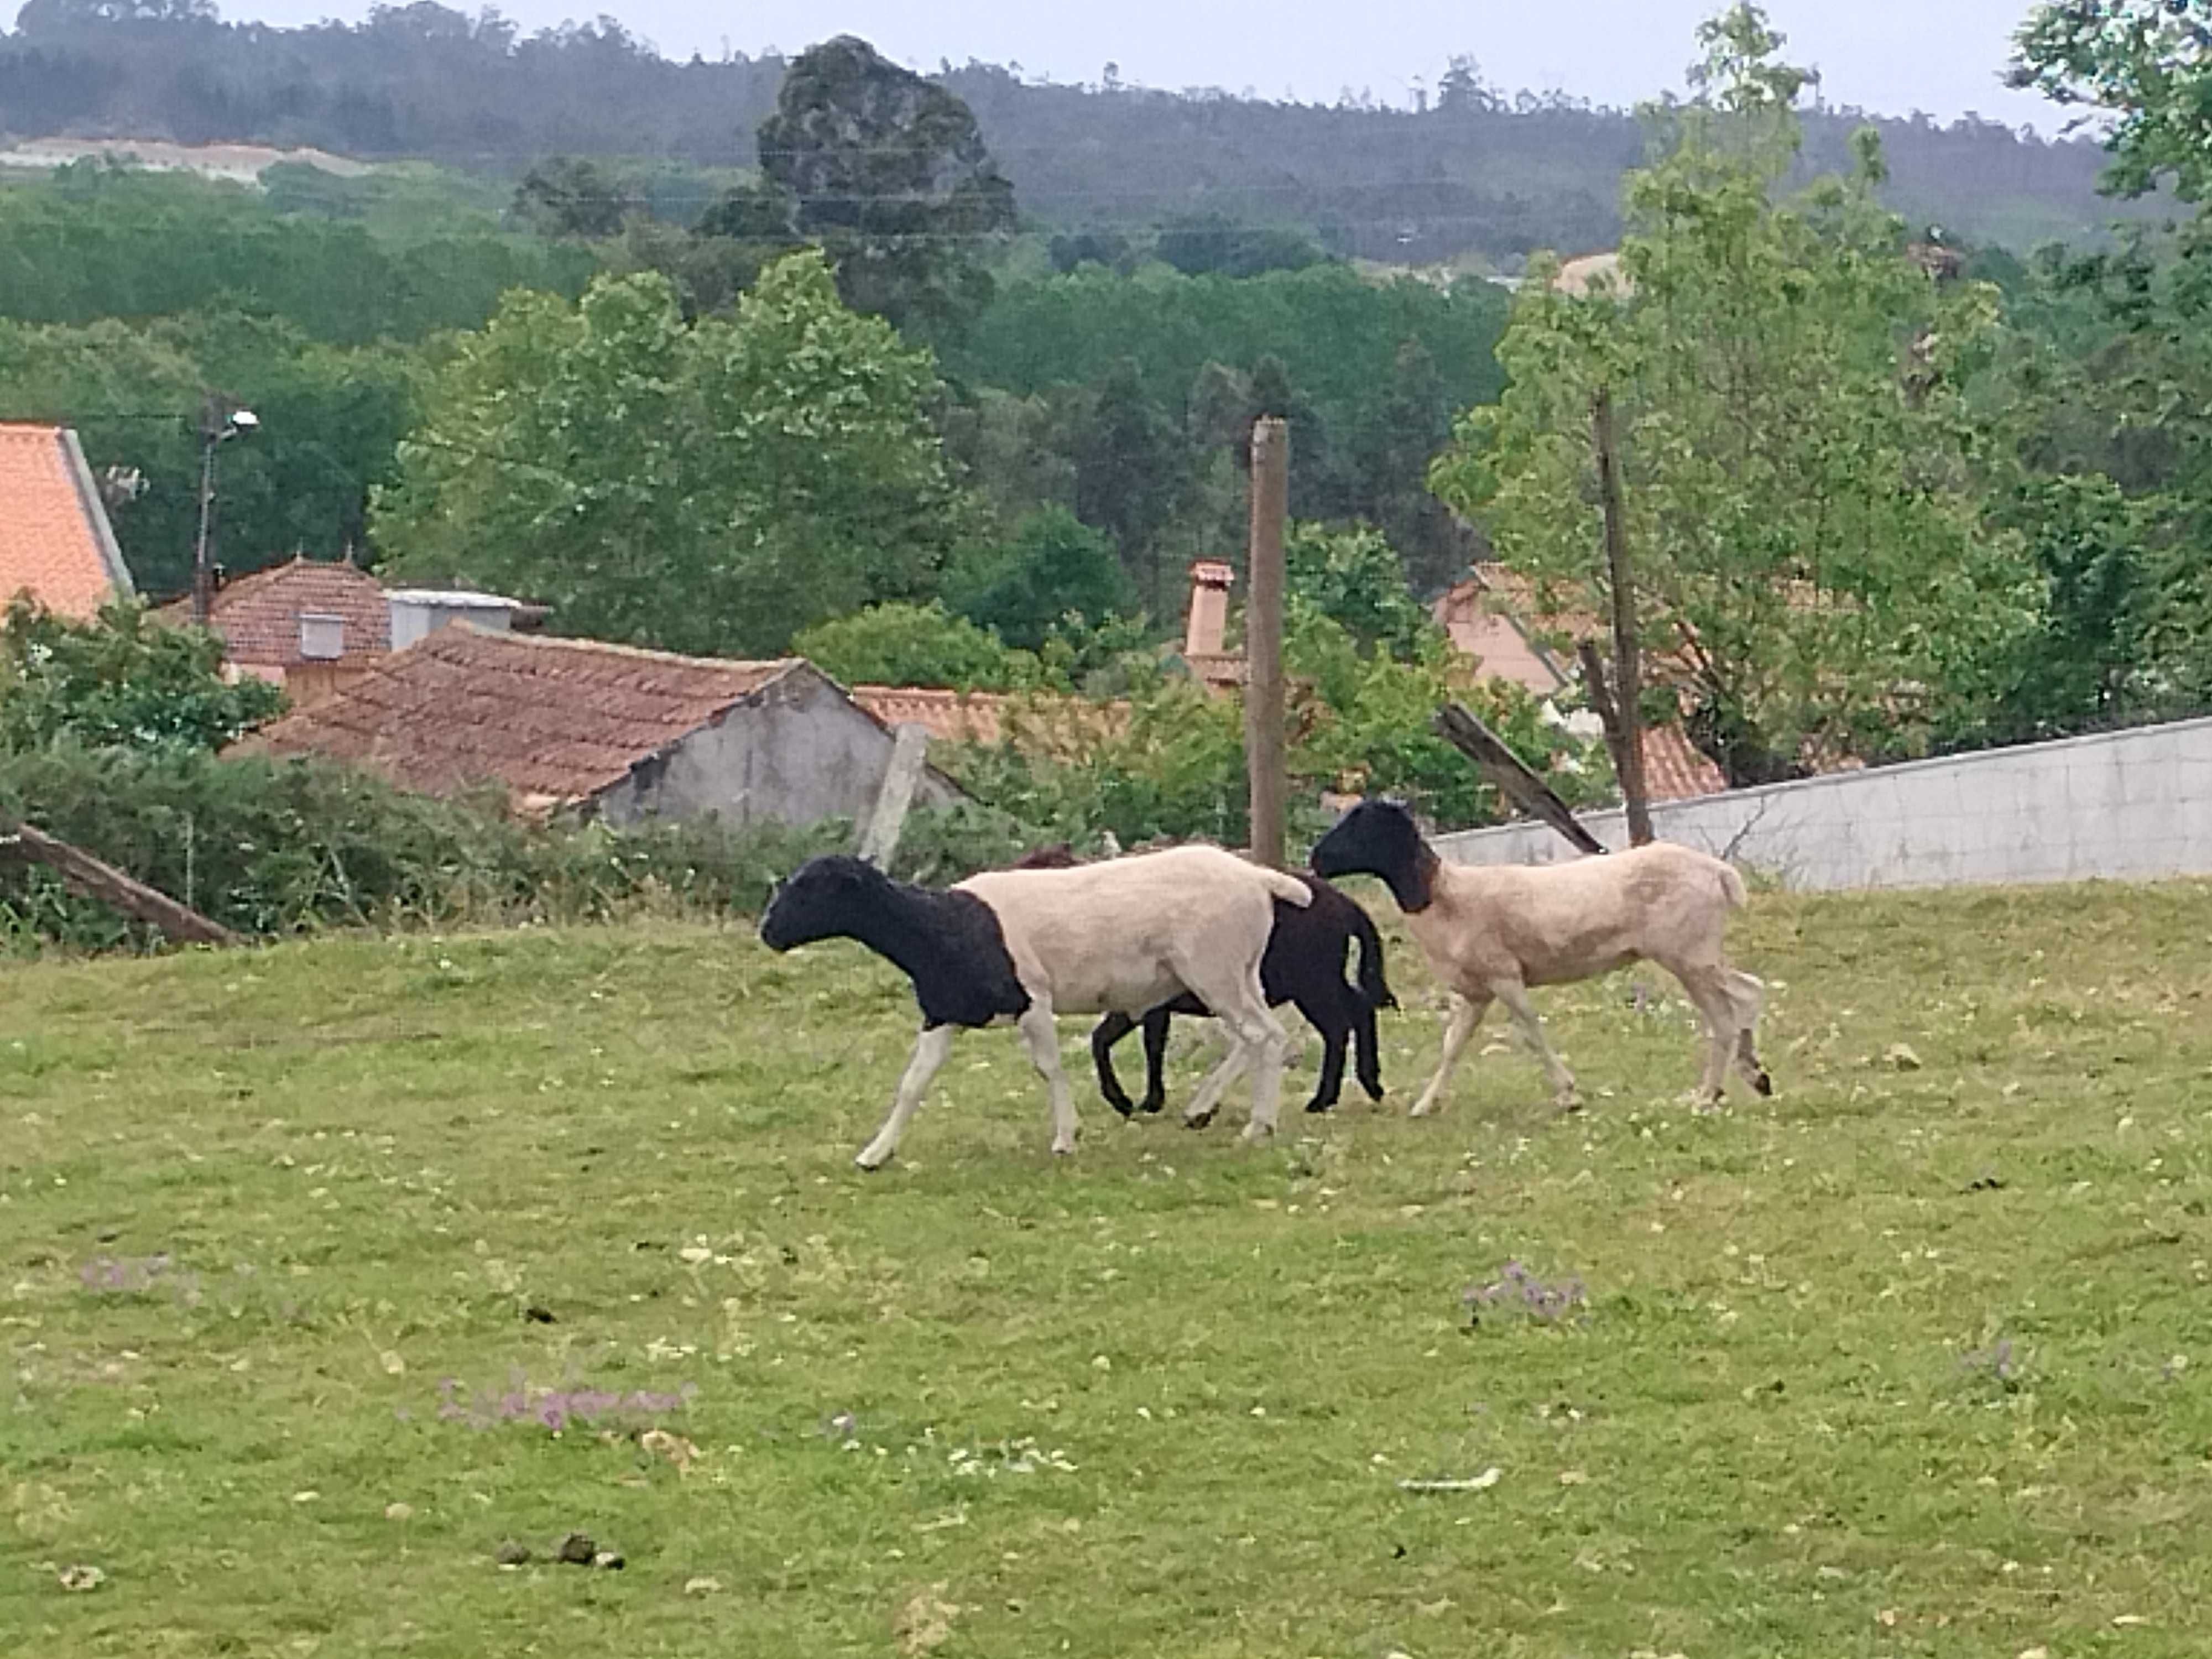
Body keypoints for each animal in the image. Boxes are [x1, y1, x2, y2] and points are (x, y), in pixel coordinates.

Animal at [761, 845, 1310, 1168]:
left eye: (812, 888)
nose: (767, 932)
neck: (943, 927)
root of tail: (1258, 877)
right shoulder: (944, 1013)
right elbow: (913, 1084)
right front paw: (875, 1153)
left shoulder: (1033, 1000)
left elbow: (1050, 1068)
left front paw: (1066, 1137)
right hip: (1239, 973)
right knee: (1263, 1037)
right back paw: (1209, 1110)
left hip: (1214, 970)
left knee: (1261, 1037)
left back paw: (1257, 1126)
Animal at [1310, 801, 1761, 1119]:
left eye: (1363, 824)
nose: (1315, 859)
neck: (1443, 895)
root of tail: (1718, 872)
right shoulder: (1476, 992)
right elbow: (1453, 1046)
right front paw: (1425, 1105)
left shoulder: (1504, 976)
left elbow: (1530, 1032)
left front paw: (1569, 1094)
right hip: (1699, 954)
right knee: (1748, 992)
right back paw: (1756, 1077)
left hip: (1688, 954)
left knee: (1726, 1015)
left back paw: (1709, 1094)